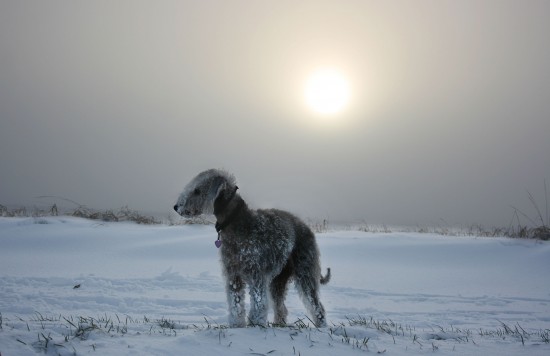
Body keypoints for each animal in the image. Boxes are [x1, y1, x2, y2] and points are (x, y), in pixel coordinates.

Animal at [175, 168, 332, 326]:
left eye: (197, 190)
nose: (176, 207)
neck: (236, 223)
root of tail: (306, 227)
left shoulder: (256, 274)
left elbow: (259, 303)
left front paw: (255, 325)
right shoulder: (233, 274)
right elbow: (236, 303)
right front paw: (237, 325)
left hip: (305, 270)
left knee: (316, 305)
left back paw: (321, 326)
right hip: (278, 280)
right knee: (281, 307)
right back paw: (279, 325)